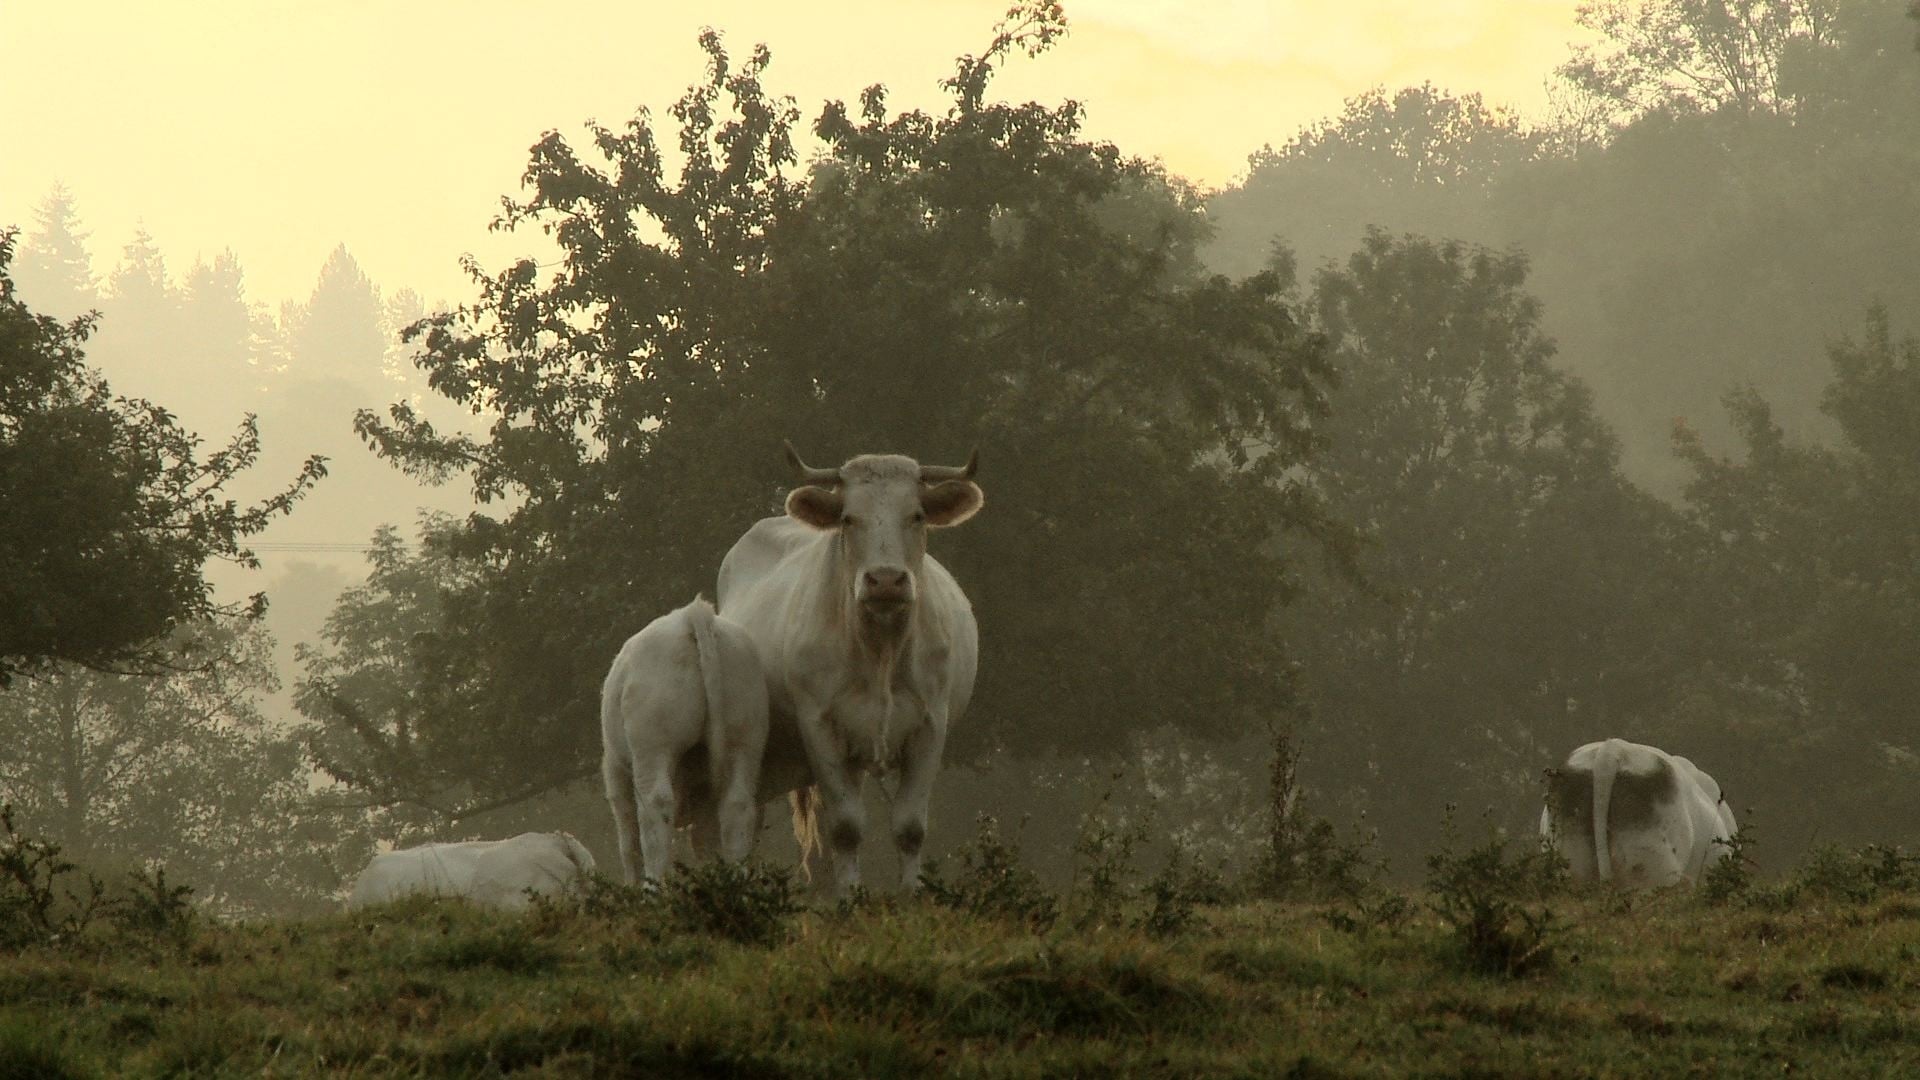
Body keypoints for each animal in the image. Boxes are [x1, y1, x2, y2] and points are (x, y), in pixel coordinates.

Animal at [602, 591, 775, 880]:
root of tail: (691, 616)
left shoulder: (614, 770)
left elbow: (627, 838)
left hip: (653, 745)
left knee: (655, 808)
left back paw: (654, 884)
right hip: (745, 735)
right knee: (737, 804)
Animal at [721, 443, 990, 891]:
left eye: (917, 515)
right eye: (849, 518)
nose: (885, 580)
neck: (880, 648)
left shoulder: (930, 727)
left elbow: (910, 828)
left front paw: (912, 895)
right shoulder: (820, 729)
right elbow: (846, 828)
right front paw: (849, 897)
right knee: (748, 822)